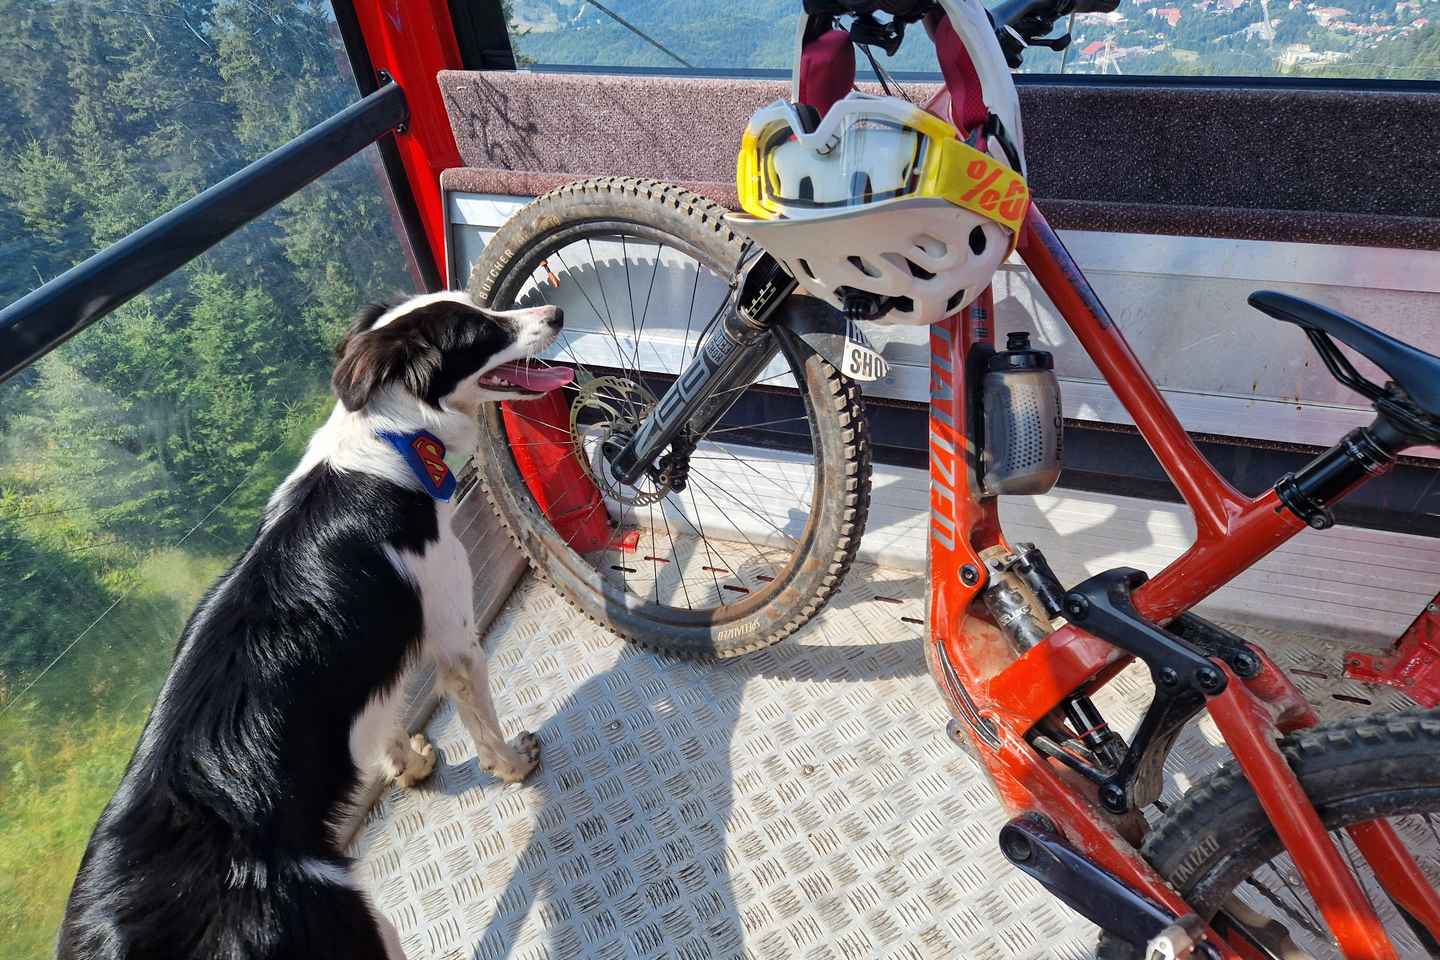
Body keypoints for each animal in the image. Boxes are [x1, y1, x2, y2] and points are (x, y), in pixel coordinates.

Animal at [57, 292, 572, 960]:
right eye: (481, 328)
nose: (554, 312)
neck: (389, 445)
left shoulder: (367, 656)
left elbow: (382, 721)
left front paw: (409, 767)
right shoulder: (452, 635)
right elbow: (480, 722)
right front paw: (511, 764)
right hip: (358, 924)